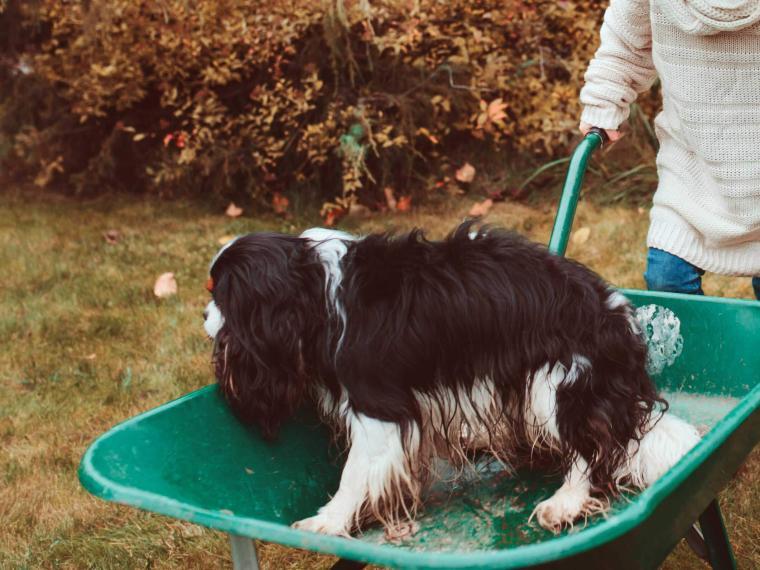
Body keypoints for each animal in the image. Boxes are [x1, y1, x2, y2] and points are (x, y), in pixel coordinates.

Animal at [203, 224, 700, 536]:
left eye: (217, 295)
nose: (203, 316)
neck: (316, 288)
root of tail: (619, 316)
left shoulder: (377, 404)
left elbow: (355, 472)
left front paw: (329, 521)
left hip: (556, 380)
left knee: (592, 446)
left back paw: (567, 500)